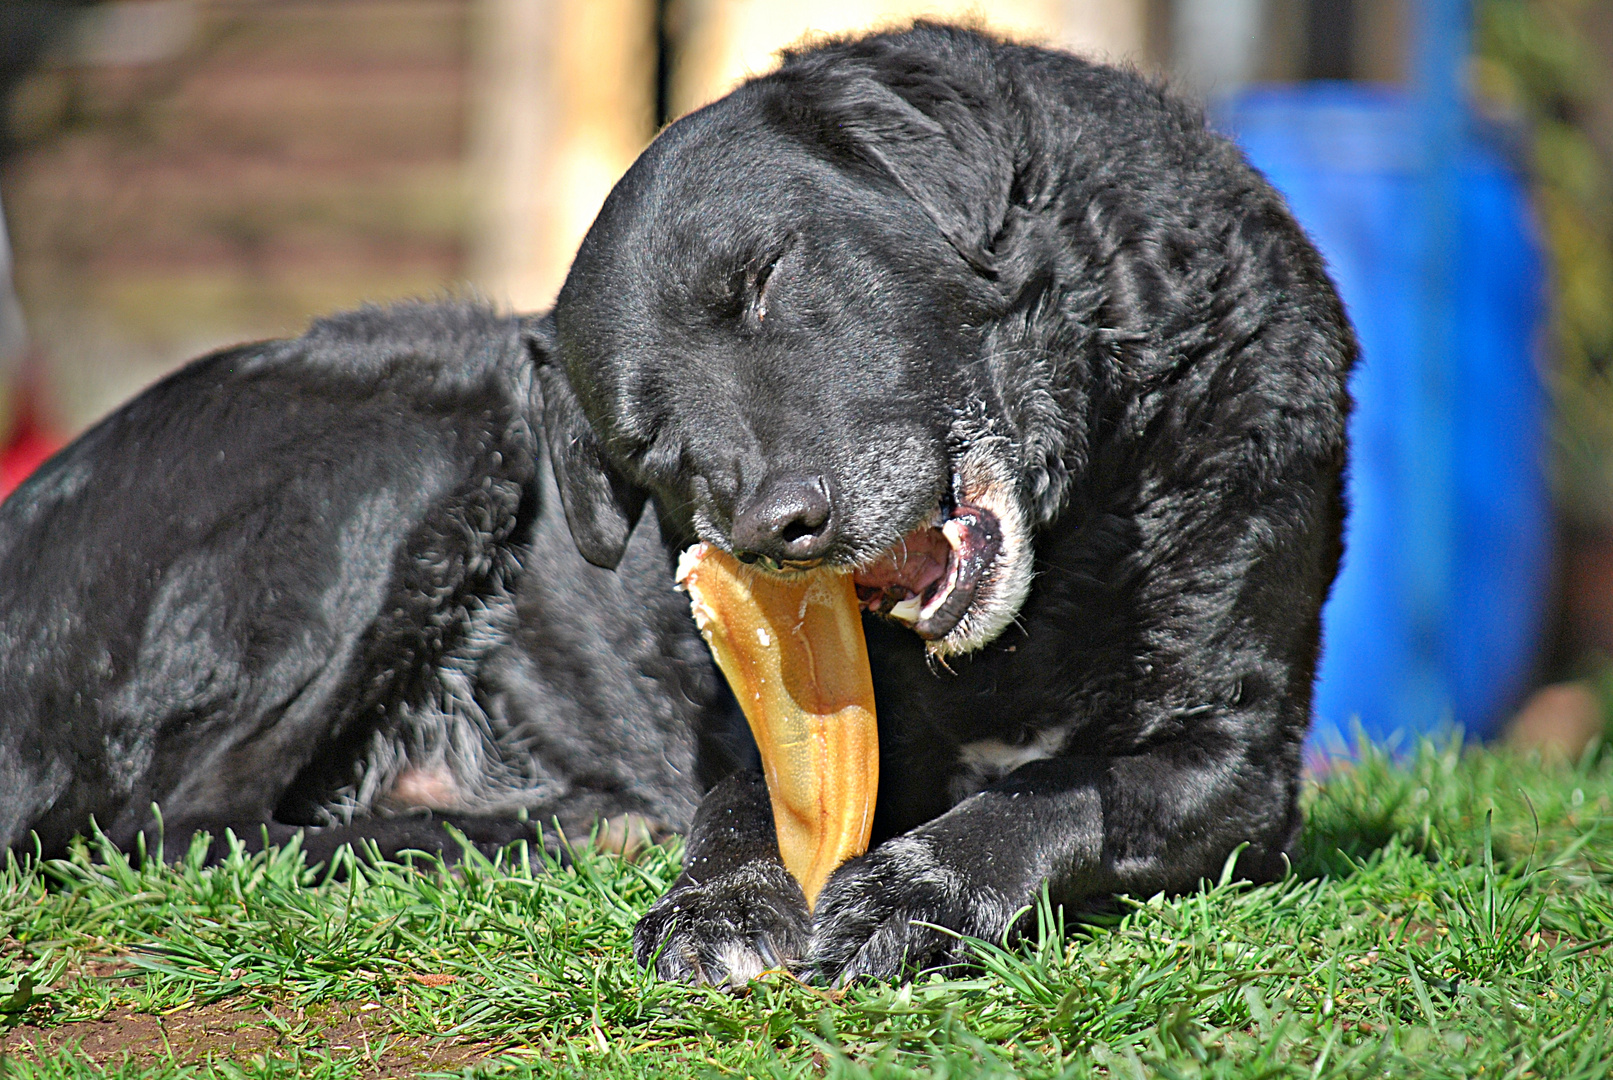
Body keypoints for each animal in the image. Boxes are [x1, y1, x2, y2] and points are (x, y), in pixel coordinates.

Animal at [548, 23, 1354, 992]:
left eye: (764, 280)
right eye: (645, 441)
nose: (772, 531)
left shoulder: (1237, 759)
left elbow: (1057, 792)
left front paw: (919, 889)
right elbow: (739, 796)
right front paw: (722, 896)